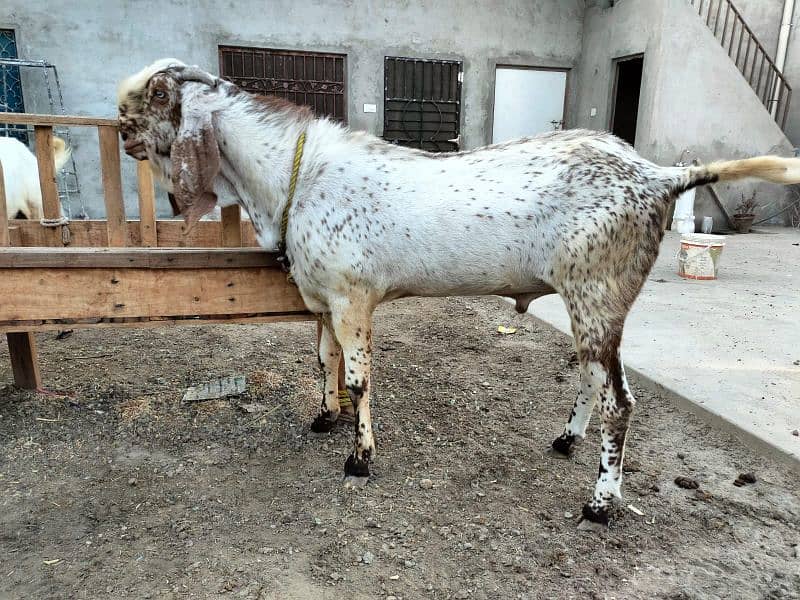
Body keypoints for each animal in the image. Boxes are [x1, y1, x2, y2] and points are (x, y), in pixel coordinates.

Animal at [117, 58, 800, 524]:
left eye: (157, 98)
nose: (122, 133)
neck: (298, 174)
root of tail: (661, 176)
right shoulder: (324, 299)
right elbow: (324, 359)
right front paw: (324, 418)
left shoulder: (353, 298)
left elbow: (360, 377)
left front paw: (359, 458)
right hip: (594, 302)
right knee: (592, 377)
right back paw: (565, 440)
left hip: (597, 291)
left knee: (621, 403)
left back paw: (602, 503)